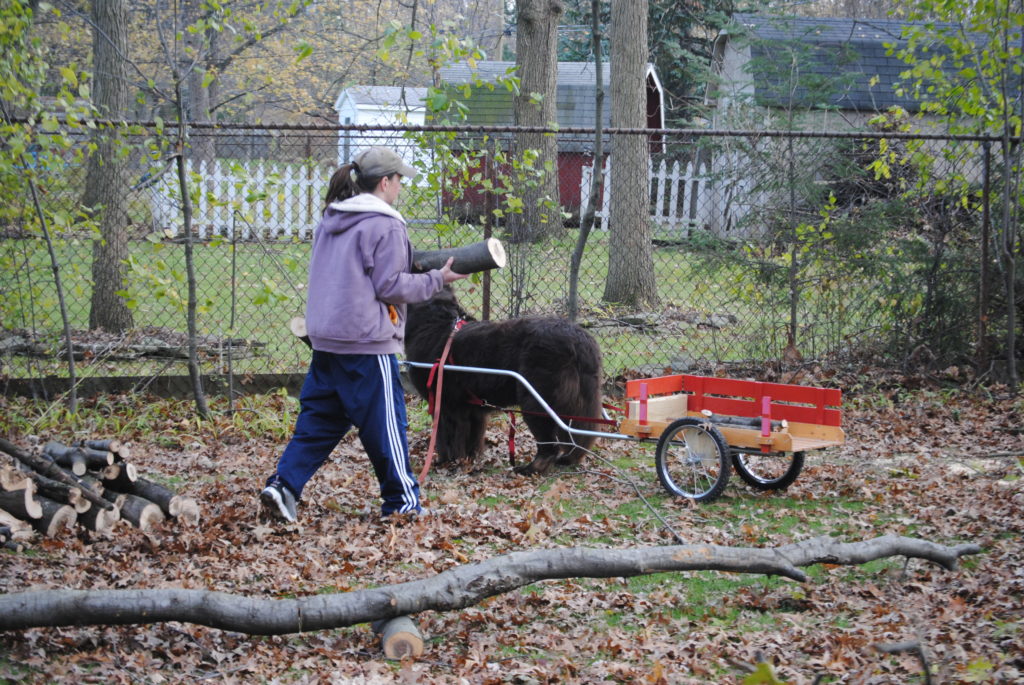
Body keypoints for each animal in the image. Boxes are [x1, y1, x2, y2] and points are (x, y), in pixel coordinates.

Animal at [405, 286, 602, 473]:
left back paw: (529, 470)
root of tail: (579, 338)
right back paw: (568, 459)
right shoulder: (472, 409)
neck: (434, 322)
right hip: (578, 401)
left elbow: (444, 439)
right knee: (580, 436)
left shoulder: (444, 404)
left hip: (536, 401)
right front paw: (469, 461)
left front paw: (445, 463)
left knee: (549, 447)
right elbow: (471, 440)